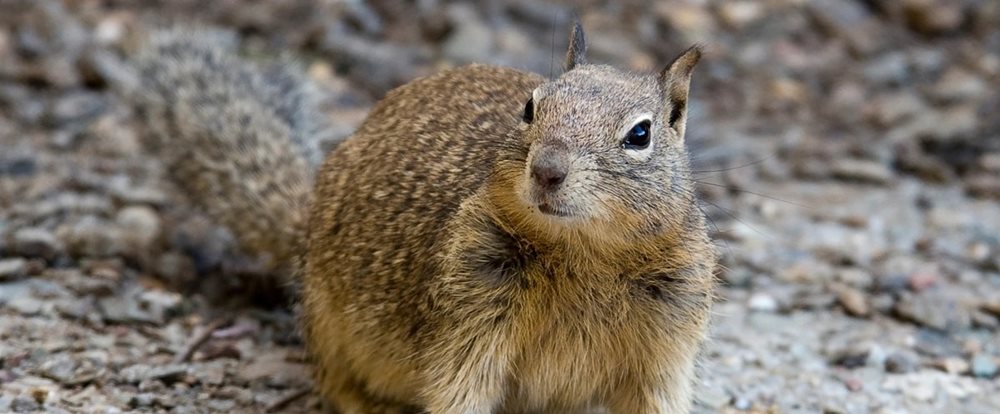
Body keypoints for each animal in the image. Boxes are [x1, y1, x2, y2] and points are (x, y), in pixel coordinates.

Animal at [126, 23, 717, 414]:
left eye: (639, 134)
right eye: (530, 107)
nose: (547, 170)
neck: (584, 253)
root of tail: (304, 225)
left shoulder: (668, 345)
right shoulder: (469, 316)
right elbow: (459, 390)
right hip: (328, 325)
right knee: (338, 387)